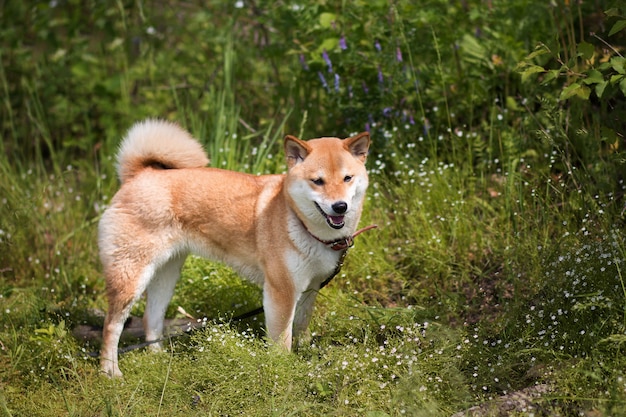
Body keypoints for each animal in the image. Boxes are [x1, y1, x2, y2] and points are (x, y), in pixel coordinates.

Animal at [98, 118, 370, 376]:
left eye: (347, 178)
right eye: (318, 181)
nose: (340, 206)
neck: (301, 224)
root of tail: (139, 175)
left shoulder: (310, 288)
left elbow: (301, 328)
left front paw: (306, 356)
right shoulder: (281, 292)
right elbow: (282, 342)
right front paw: (283, 373)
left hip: (166, 275)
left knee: (151, 319)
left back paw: (159, 358)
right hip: (131, 277)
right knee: (111, 326)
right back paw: (109, 371)